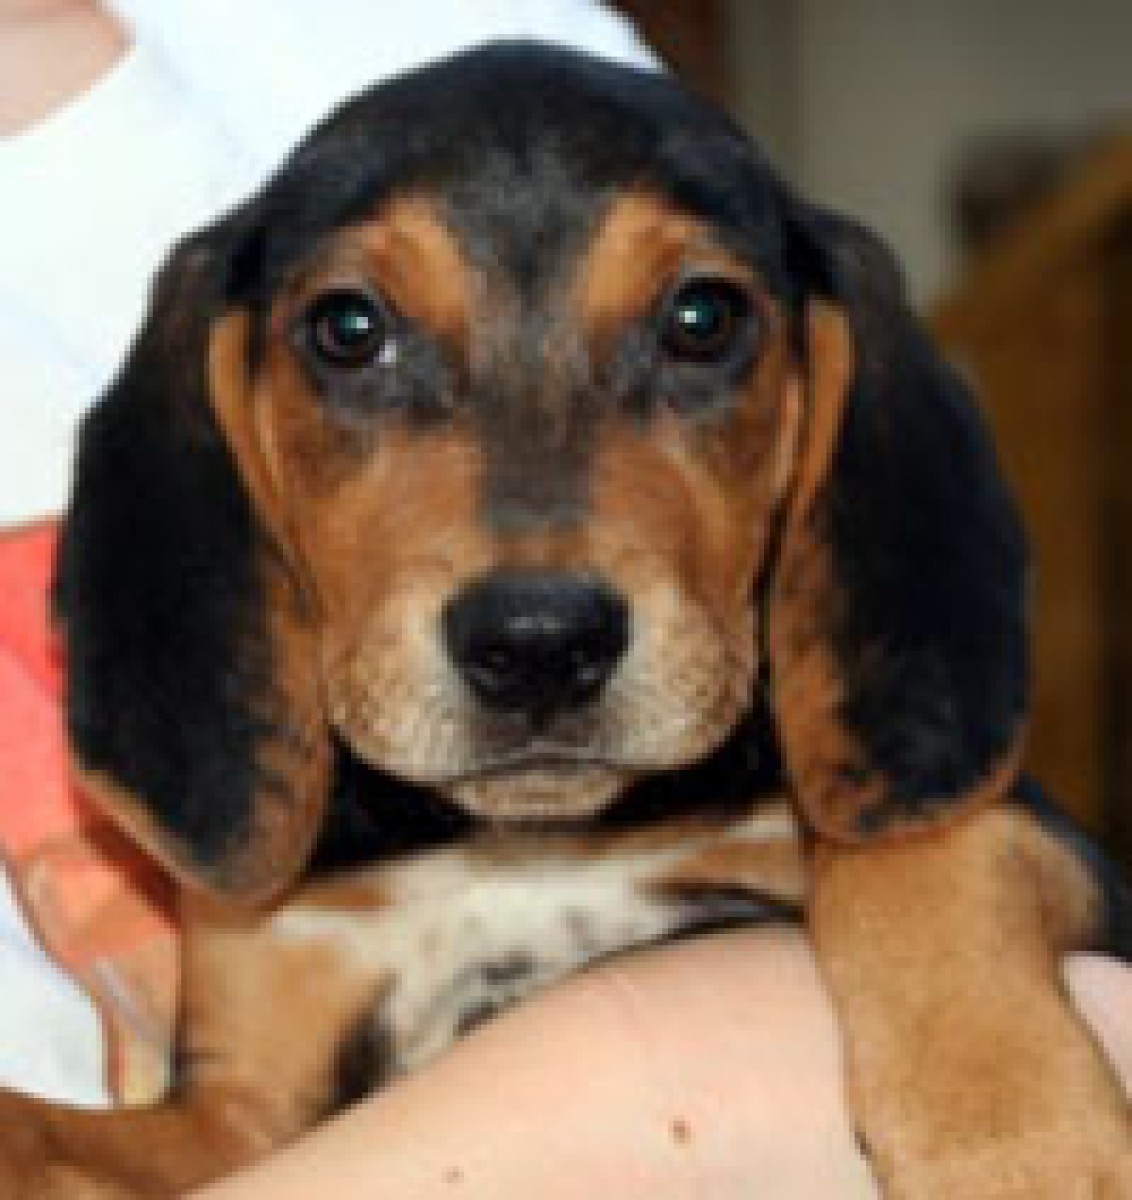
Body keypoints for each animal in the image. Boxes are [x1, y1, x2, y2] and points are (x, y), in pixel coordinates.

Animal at [1, 42, 1129, 1198]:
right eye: (349, 329)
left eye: (703, 318)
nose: (538, 645)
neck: (516, 846)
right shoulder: (244, 1110)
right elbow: (37, 1125)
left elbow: (927, 852)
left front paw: (1014, 1133)